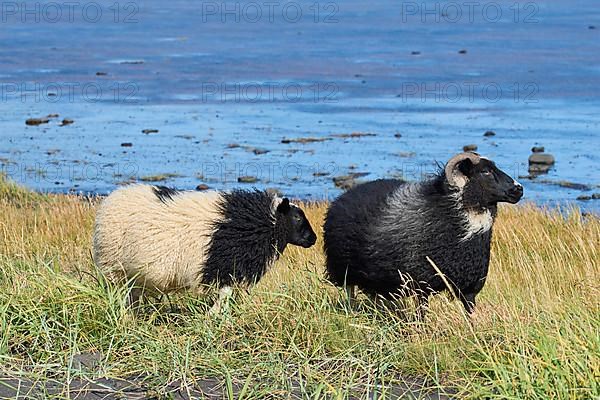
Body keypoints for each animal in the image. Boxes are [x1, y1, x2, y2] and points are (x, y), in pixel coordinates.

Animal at [92, 184, 318, 312]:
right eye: (297, 217)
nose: (313, 239)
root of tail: (111, 198)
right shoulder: (222, 265)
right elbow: (225, 293)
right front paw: (215, 315)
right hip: (113, 265)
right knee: (120, 292)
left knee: (133, 292)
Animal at [322, 153, 524, 316]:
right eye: (485, 172)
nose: (519, 189)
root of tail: (344, 195)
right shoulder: (421, 284)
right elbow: (422, 314)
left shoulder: (469, 285)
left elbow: (470, 314)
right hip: (343, 269)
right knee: (350, 293)